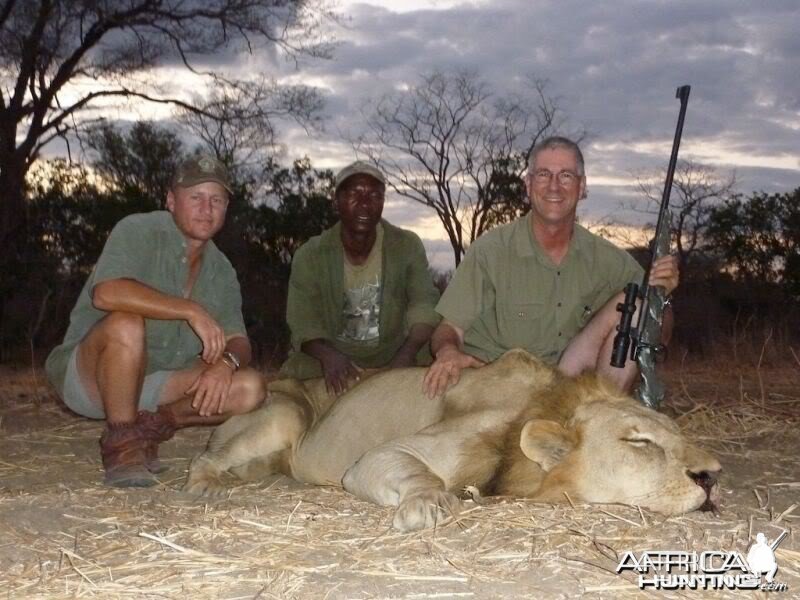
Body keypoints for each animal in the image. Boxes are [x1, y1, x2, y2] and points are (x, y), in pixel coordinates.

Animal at [184, 350, 720, 532]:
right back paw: (208, 484)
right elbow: (418, 473)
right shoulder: (381, 455)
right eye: (640, 442)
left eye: (678, 434)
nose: (713, 477)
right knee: (205, 458)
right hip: (284, 411)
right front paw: (429, 503)